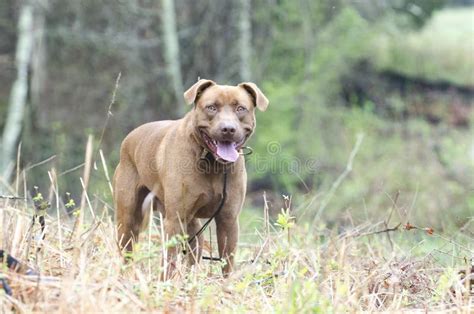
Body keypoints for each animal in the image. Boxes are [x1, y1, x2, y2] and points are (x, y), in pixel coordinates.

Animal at [111, 79, 266, 274]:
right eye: (211, 107)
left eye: (240, 108)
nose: (228, 129)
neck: (212, 162)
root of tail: (129, 137)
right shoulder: (175, 220)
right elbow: (169, 261)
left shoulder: (228, 219)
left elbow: (227, 263)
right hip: (128, 218)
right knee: (127, 251)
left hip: (192, 227)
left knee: (194, 250)